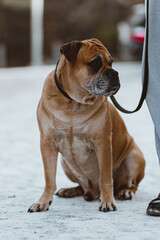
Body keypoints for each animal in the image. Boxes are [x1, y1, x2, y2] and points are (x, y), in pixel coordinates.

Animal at [28, 38, 146, 213]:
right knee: (81, 186)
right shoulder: (47, 143)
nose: (114, 73)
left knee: (132, 184)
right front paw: (42, 202)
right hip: (65, 163)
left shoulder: (102, 142)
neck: (73, 102)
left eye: (111, 62)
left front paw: (107, 201)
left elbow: (105, 178)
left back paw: (125, 191)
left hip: (134, 157)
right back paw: (69, 190)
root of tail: (92, 192)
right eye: (95, 63)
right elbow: (49, 178)